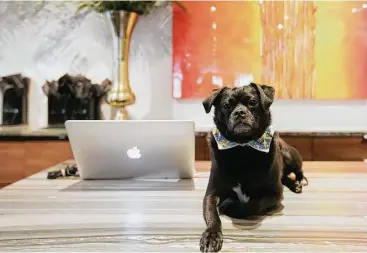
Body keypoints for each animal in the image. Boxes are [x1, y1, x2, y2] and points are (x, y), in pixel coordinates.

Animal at [200, 83, 306, 251]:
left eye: (252, 102)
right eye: (227, 106)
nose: (239, 112)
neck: (242, 146)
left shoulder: (274, 194)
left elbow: (252, 205)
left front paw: (229, 205)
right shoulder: (211, 194)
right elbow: (212, 214)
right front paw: (211, 235)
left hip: (291, 157)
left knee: (298, 172)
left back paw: (298, 183)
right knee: (284, 177)